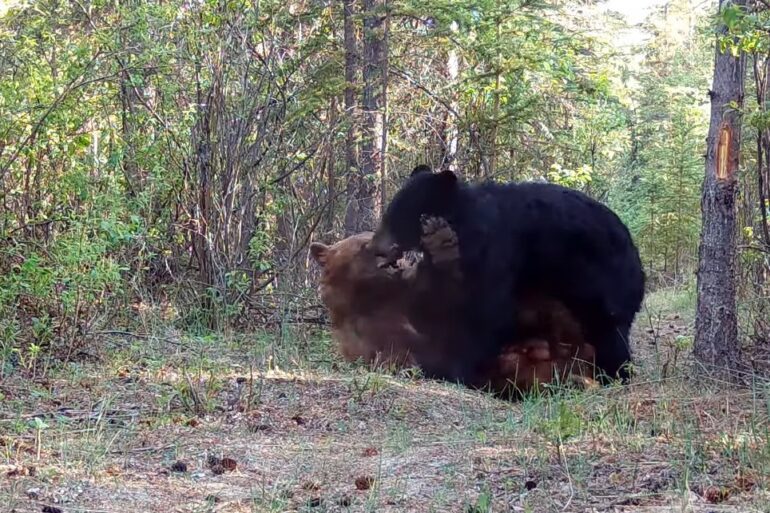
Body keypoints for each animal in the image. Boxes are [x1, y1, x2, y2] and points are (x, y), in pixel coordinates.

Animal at [310, 218, 598, 396]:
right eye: (364, 244)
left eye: (373, 235)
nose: (395, 247)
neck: (374, 295)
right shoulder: (371, 331)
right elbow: (400, 350)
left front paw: (439, 238)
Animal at [369, 165, 645, 385]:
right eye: (391, 211)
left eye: (401, 216)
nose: (375, 246)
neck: (464, 221)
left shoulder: (497, 249)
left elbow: (488, 308)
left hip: (603, 283)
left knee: (611, 333)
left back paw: (614, 374)